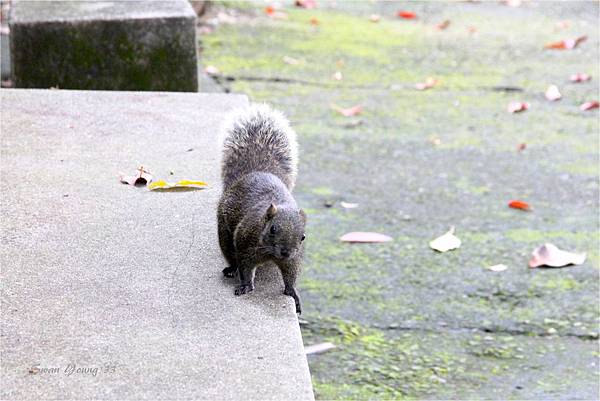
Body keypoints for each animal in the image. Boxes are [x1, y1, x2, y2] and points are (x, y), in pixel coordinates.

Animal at [218, 103, 308, 312]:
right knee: (231, 256)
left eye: (303, 237)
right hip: (224, 235)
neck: (270, 253)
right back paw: (231, 269)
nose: (285, 252)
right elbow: (245, 268)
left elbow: (290, 276)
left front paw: (293, 293)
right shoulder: (245, 246)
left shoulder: (293, 259)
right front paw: (245, 285)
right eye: (273, 229)